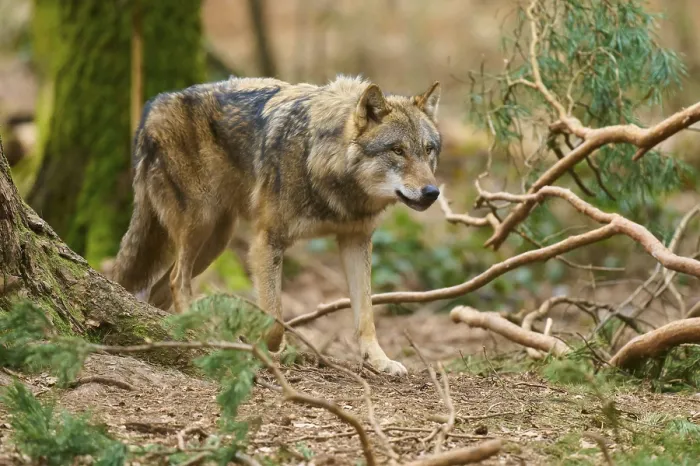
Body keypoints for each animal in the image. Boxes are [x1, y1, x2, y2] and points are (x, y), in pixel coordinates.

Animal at [112, 75, 442, 375]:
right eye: (397, 150)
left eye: (428, 150)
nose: (432, 192)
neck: (321, 159)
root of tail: (152, 107)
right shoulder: (266, 241)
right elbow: (276, 322)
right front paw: (261, 349)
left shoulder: (356, 240)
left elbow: (366, 315)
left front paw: (379, 361)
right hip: (199, 226)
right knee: (176, 279)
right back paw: (203, 334)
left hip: (215, 241)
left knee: (159, 289)